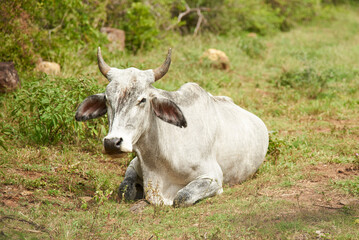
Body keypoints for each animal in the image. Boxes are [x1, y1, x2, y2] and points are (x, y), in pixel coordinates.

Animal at [74, 48, 268, 206]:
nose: (112, 143)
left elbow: (182, 198)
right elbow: (124, 191)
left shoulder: (212, 177)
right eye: (107, 99)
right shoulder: (134, 165)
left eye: (142, 100)